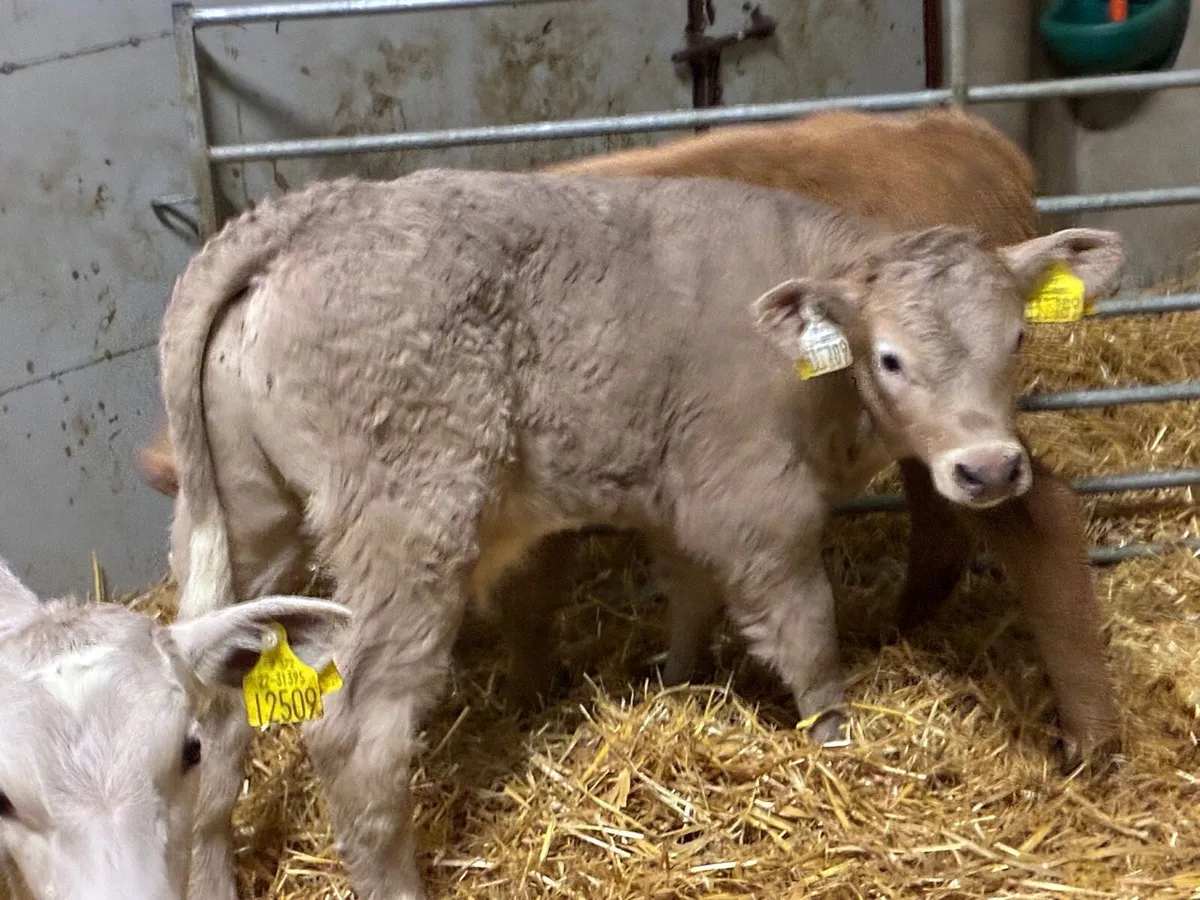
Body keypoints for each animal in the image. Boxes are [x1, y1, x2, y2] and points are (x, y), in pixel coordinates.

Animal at [157, 167, 1123, 900]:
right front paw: (837, 744)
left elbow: (689, 595)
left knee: (213, 709)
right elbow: (806, 630)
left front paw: (675, 685)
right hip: (409, 519)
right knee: (356, 735)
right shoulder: (755, 499)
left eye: (1018, 338)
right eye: (889, 358)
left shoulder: (681, 495)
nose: (989, 469)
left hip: (250, 513)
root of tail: (307, 212)